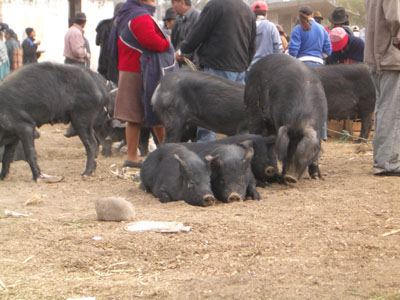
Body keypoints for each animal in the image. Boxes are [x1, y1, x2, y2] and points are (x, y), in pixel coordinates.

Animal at [244, 54, 328, 183]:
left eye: (300, 152)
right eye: (288, 148)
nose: (290, 177)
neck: (300, 119)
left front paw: (317, 177)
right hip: (253, 109)